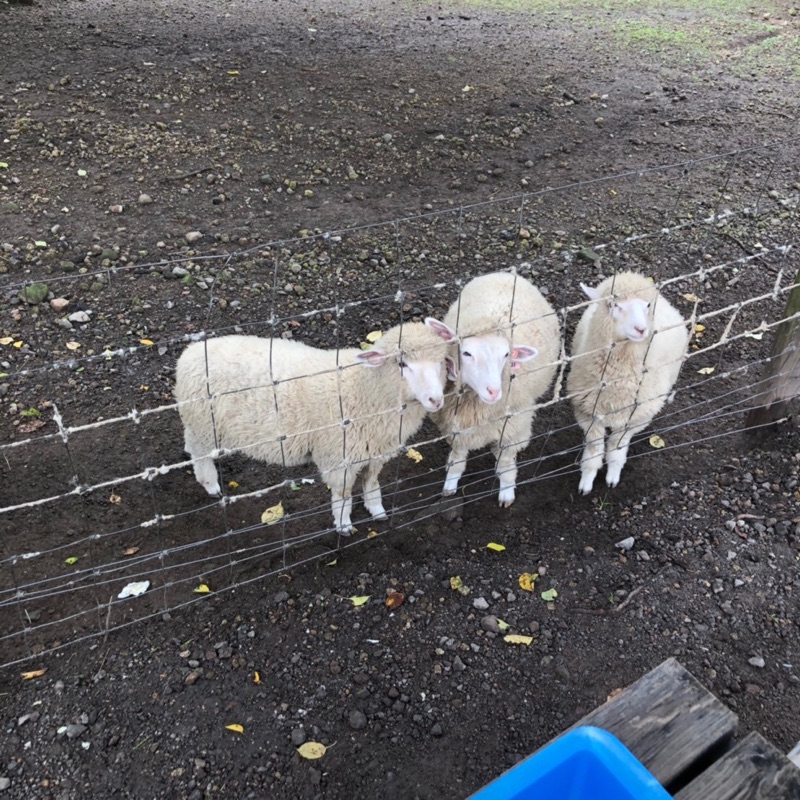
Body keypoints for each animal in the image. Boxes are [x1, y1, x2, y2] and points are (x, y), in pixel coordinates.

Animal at [175, 318, 456, 532]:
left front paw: (377, 510)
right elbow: (343, 494)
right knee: (200, 455)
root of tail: (189, 353)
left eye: (441, 361)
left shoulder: (377, 451)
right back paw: (211, 485)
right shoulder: (339, 458)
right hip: (203, 423)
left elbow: (371, 482)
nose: (436, 399)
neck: (365, 389)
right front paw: (343, 525)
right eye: (402, 363)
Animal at [432, 272, 564, 504]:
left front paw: (507, 492)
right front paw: (449, 486)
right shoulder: (456, 427)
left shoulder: (511, 428)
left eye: (506, 354)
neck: (473, 407)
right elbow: (457, 459)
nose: (494, 392)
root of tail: (508, 274)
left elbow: (506, 464)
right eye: (466, 353)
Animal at [564, 272, 692, 494]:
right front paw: (587, 481)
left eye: (647, 305)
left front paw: (612, 476)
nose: (641, 329)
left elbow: (617, 447)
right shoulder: (587, 412)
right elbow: (594, 449)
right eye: (613, 304)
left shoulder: (635, 417)